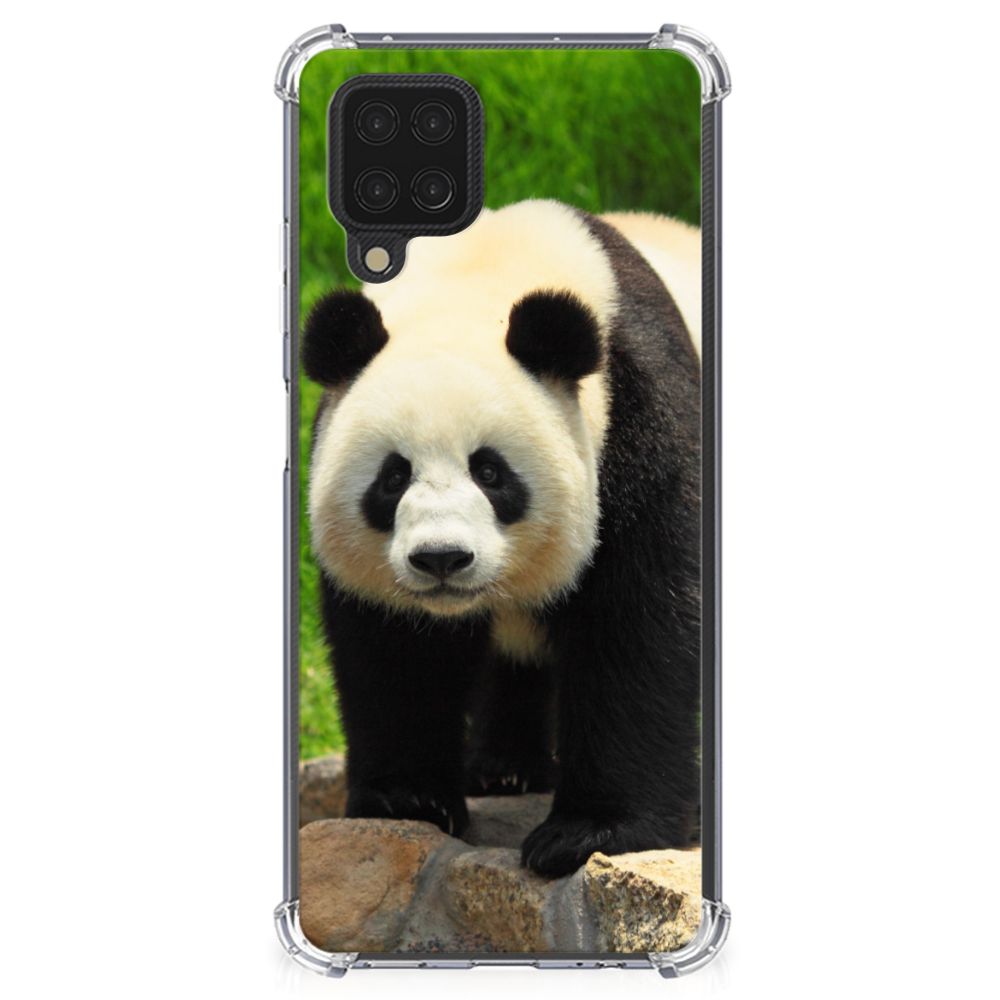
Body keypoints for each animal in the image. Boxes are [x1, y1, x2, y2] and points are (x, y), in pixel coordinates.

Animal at [303, 200, 701, 877]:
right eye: (393, 477)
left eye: (490, 472)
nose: (441, 559)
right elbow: (395, 650)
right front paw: (408, 800)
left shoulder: (641, 418)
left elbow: (641, 623)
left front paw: (588, 832)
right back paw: (504, 769)